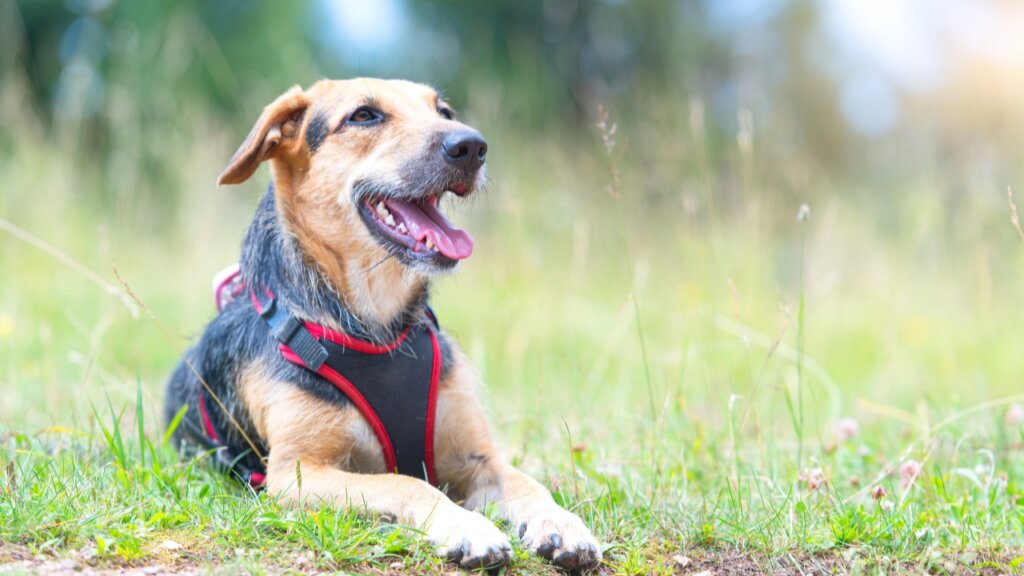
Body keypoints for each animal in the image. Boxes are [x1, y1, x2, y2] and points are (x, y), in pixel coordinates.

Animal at [163, 78, 602, 565]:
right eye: (364, 116)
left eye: (443, 112)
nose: (471, 146)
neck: (377, 325)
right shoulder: (297, 473)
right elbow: (406, 482)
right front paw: (467, 526)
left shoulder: (475, 457)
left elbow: (528, 483)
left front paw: (560, 523)